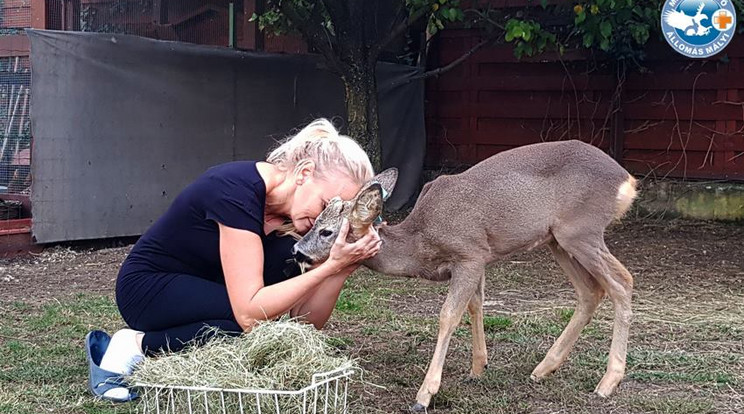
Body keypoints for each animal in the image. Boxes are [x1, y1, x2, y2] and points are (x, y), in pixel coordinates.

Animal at [294, 140, 636, 410]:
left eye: (326, 231)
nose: (298, 252)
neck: (421, 242)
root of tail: (627, 180)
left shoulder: (470, 252)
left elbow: (449, 315)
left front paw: (425, 395)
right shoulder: (478, 260)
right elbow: (475, 305)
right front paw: (478, 367)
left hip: (581, 230)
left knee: (622, 281)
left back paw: (608, 382)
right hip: (557, 240)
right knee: (591, 291)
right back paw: (543, 369)